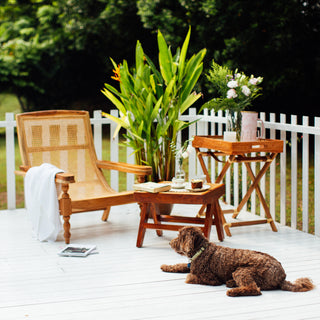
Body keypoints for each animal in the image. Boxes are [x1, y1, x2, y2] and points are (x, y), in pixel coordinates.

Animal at [161, 226, 314, 296]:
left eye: (179, 237)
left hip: (241, 271)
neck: (201, 250)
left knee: (255, 289)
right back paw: (231, 283)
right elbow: (181, 265)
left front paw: (188, 277)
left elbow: (190, 276)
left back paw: (233, 291)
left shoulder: (212, 279)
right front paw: (166, 266)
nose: (169, 243)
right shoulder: (190, 264)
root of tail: (282, 276)